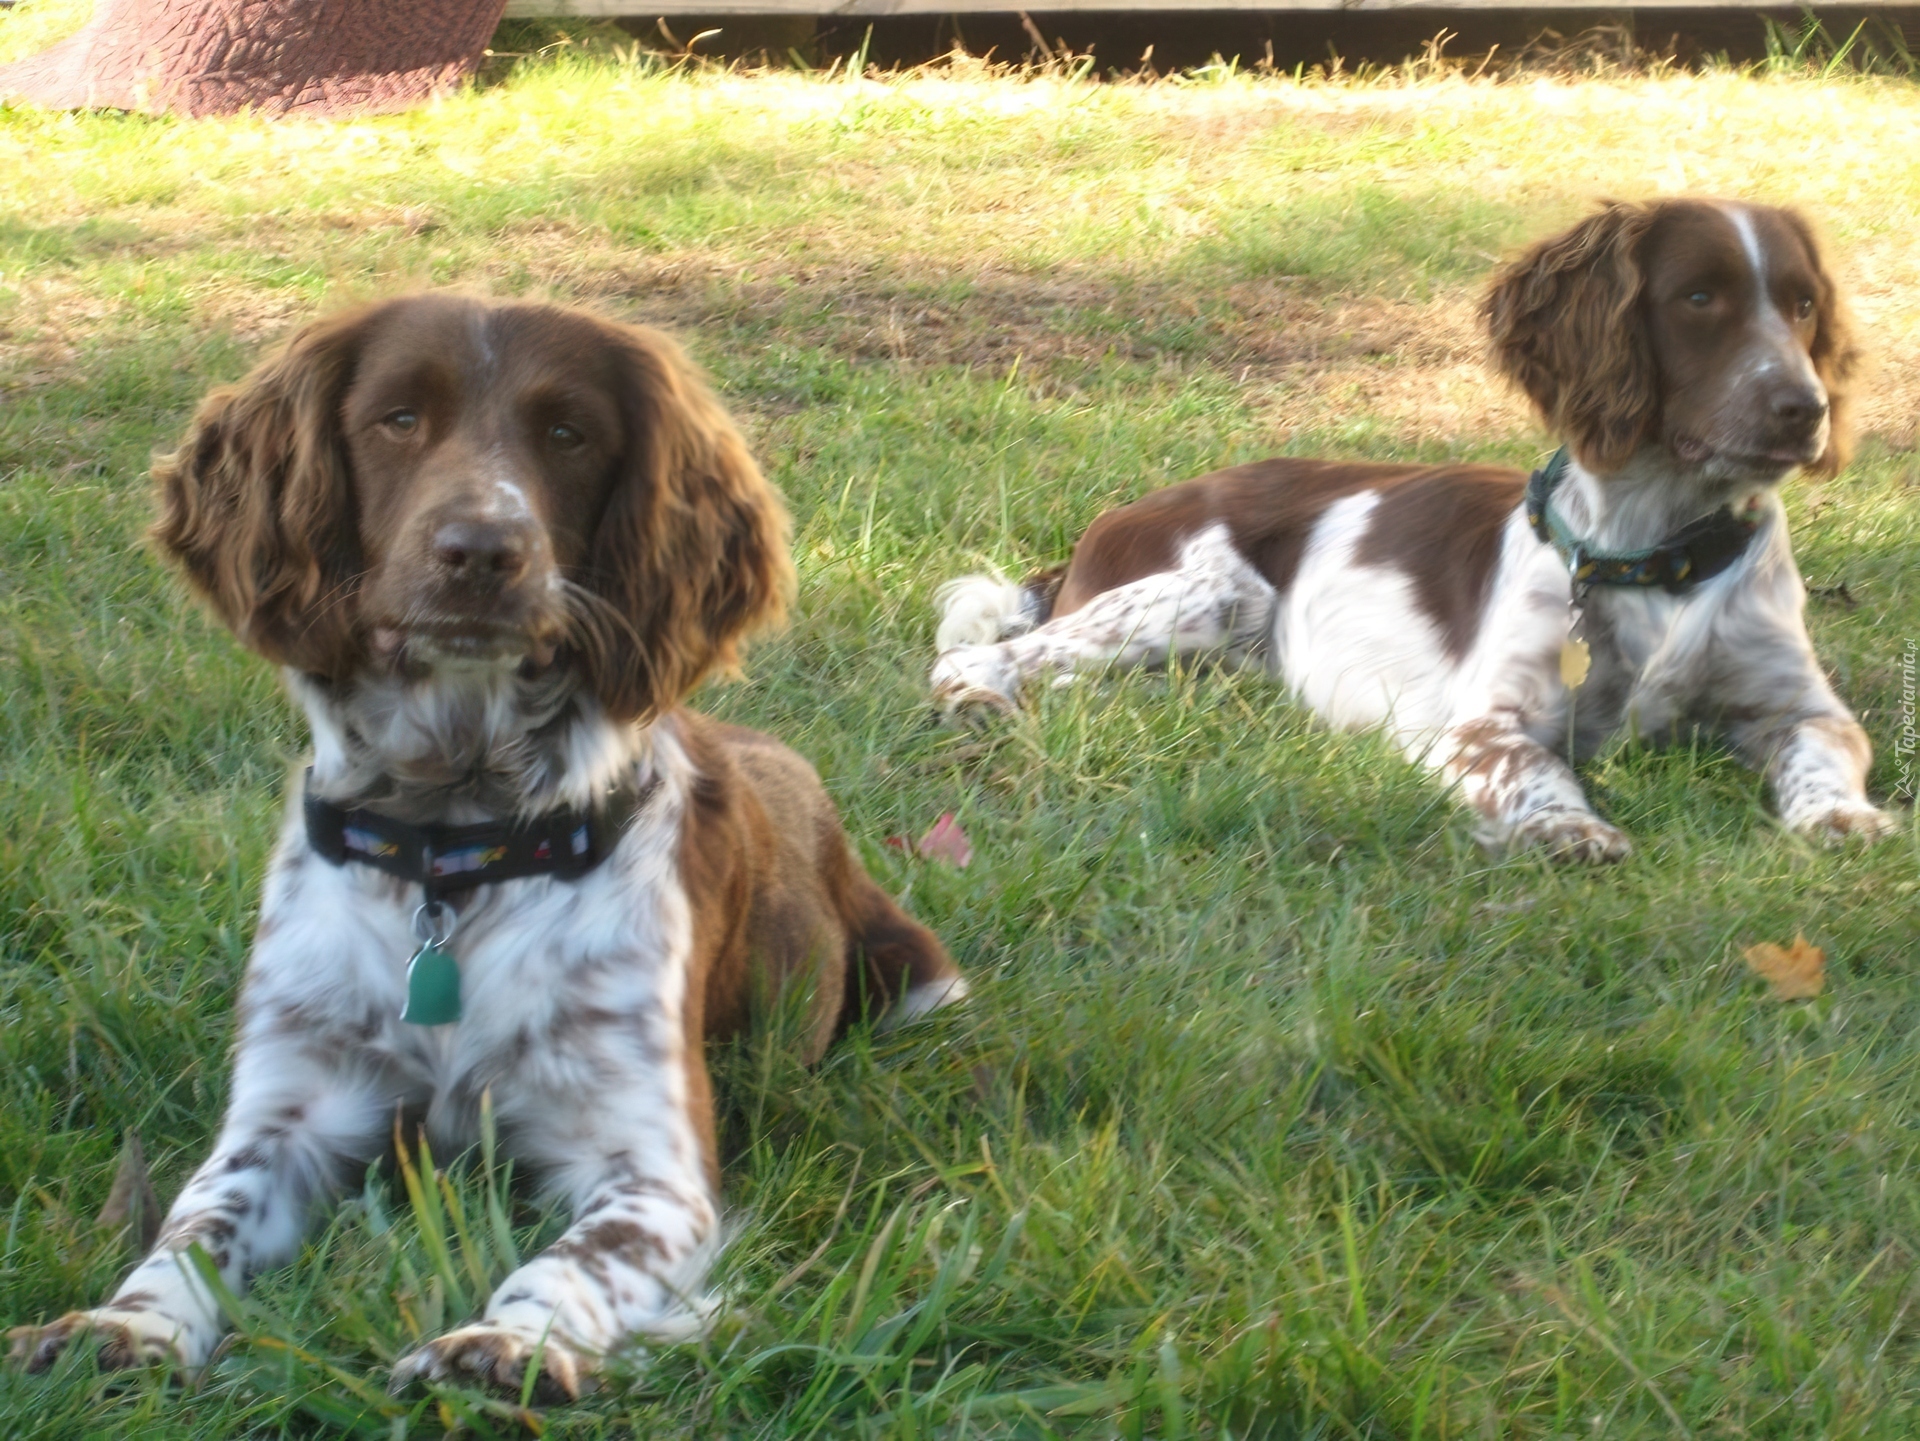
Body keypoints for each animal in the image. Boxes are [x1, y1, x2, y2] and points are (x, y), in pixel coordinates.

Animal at [9, 289, 967, 1396]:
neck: (453, 852)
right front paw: (129, 1325)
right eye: (397, 419)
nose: (479, 550)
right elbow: (196, 1225)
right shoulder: (289, 1112)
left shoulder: (651, 1164)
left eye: (568, 433)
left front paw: (507, 1344)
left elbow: (577, 1257)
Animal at [925, 201, 1889, 855]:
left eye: (1804, 305)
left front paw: (1843, 815)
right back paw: (982, 698)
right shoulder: (1482, 724)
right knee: (977, 657)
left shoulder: (1799, 705)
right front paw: (1569, 827)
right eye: (1698, 297)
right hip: (1209, 593)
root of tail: (1106, 524)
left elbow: (1829, 748)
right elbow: (1538, 767)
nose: (1804, 411)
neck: (1657, 552)